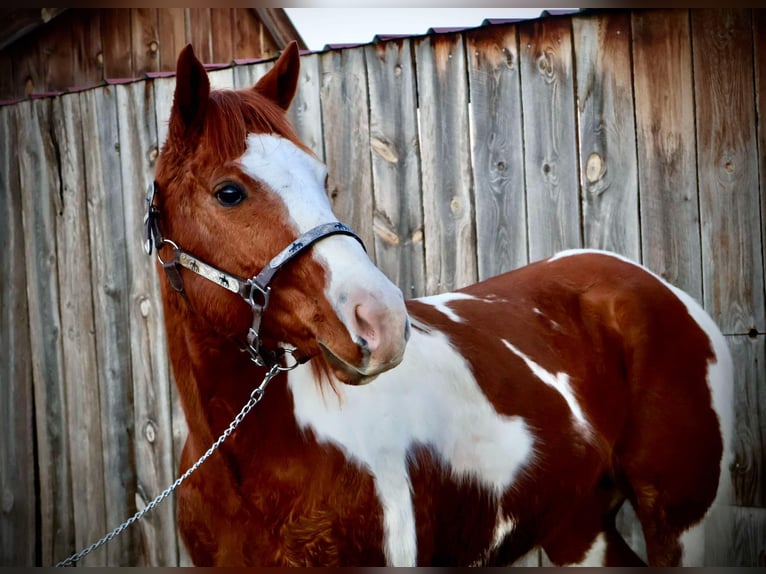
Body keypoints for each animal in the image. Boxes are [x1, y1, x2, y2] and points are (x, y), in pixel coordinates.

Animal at [148, 40, 732, 568]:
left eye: (324, 180)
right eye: (228, 192)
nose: (381, 320)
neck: (248, 467)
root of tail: (659, 289)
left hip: (680, 524)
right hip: (578, 528)